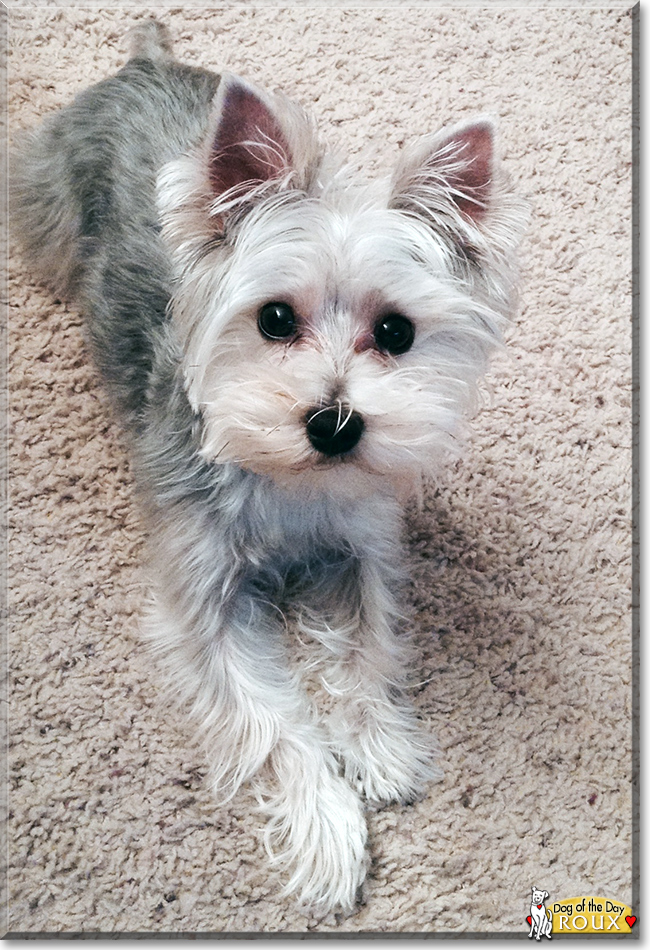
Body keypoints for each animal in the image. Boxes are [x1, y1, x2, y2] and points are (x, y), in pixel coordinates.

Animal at [11, 20, 528, 916]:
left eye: (396, 333)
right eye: (275, 319)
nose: (334, 424)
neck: (292, 485)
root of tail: (142, 63)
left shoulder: (362, 546)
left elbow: (366, 645)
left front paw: (378, 745)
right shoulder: (206, 600)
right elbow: (277, 724)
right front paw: (327, 831)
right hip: (47, 208)